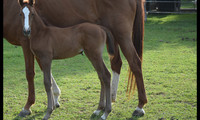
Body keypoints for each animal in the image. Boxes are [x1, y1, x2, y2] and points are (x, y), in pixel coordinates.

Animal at [2, 0, 147, 117]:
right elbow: (46, 75)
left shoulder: (29, 46)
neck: (42, 32)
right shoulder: (42, 56)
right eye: (20, 14)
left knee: (133, 63)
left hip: (121, 35)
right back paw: (105, 104)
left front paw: (30, 107)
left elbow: (34, 75)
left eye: (32, 14)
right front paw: (55, 100)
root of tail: (101, 29)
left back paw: (138, 106)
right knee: (110, 68)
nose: (26, 31)